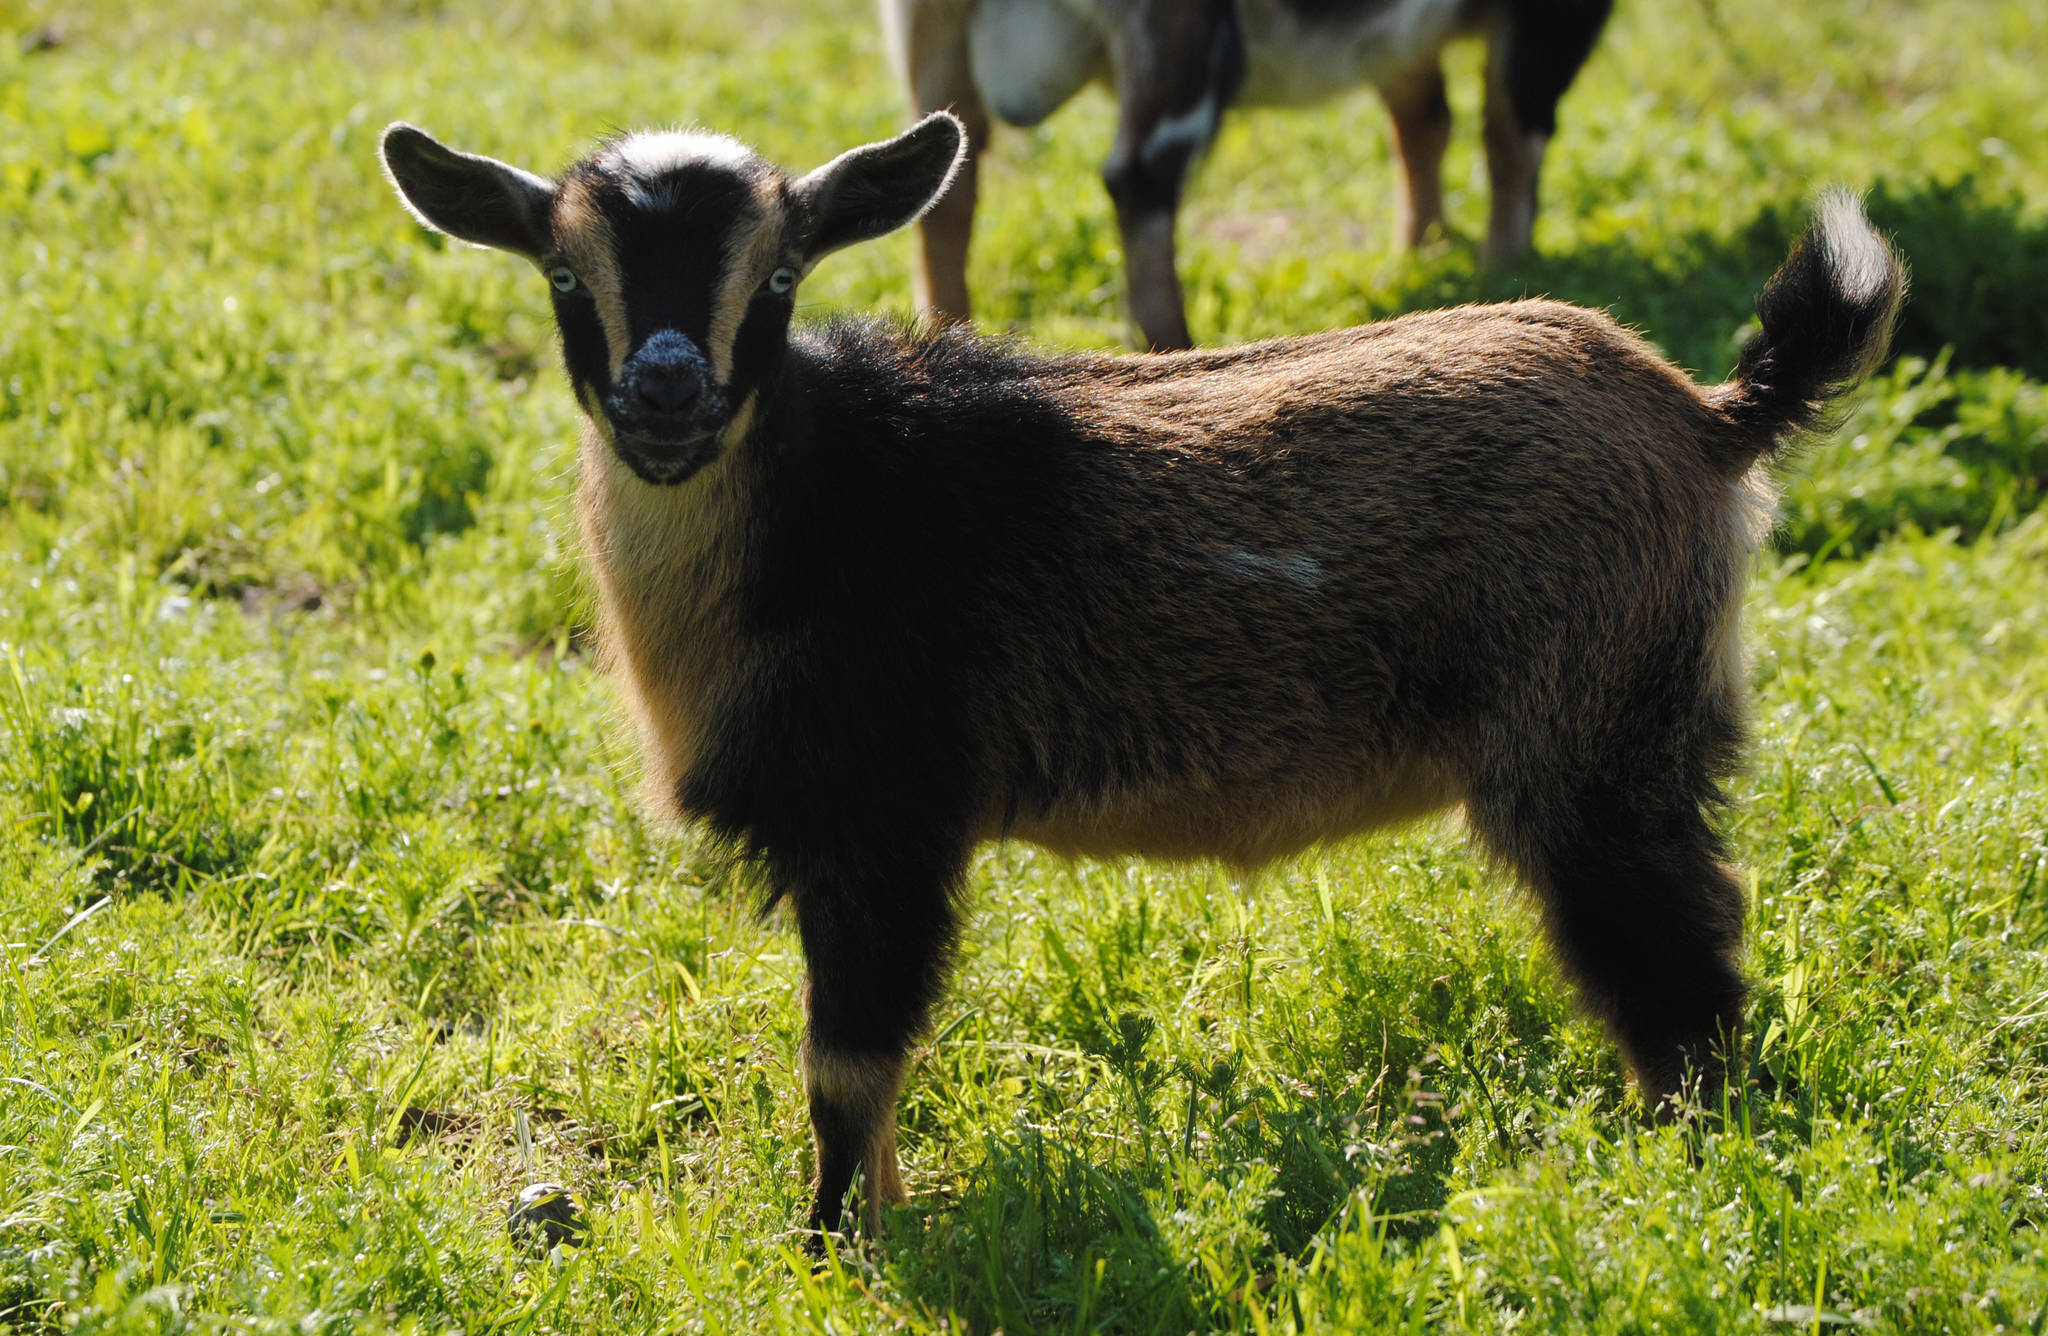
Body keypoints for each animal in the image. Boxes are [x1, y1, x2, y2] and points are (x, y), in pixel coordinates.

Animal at [380, 112, 1900, 1245]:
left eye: (780, 277)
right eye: (564, 276)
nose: (667, 393)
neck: (826, 505)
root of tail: (1710, 421)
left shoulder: (884, 825)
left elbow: (846, 1064)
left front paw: (831, 1245)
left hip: (1589, 740)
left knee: (1672, 953)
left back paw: (1682, 1170)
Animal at [880, 0, 1613, 350]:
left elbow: (1423, 117)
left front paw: (1425, 252)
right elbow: (1511, 129)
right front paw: (1507, 268)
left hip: (931, 34)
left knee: (948, 186)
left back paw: (948, 338)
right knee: (1138, 180)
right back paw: (1173, 350)